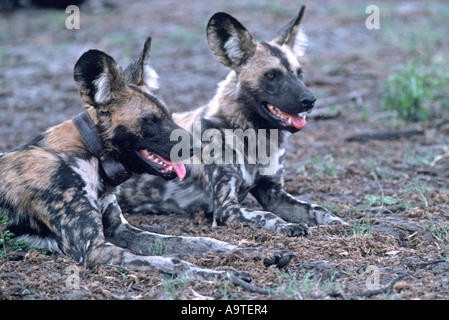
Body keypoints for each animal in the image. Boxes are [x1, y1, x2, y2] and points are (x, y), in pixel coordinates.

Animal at [0, 37, 294, 282]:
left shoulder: (122, 231)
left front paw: (254, 251)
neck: (90, 157)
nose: (199, 145)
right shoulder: (94, 249)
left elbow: (201, 241)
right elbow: (175, 261)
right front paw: (224, 274)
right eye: (150, 121)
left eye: (169, 114)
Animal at [117, 6, 344, 236]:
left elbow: (317, 208)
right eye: (271, 75)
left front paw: (338, 223)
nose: (310, 101)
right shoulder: (226, 206)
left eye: (299, 73)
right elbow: (267, 215)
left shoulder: (273, 192)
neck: (256, 139)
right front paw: (290, 226)